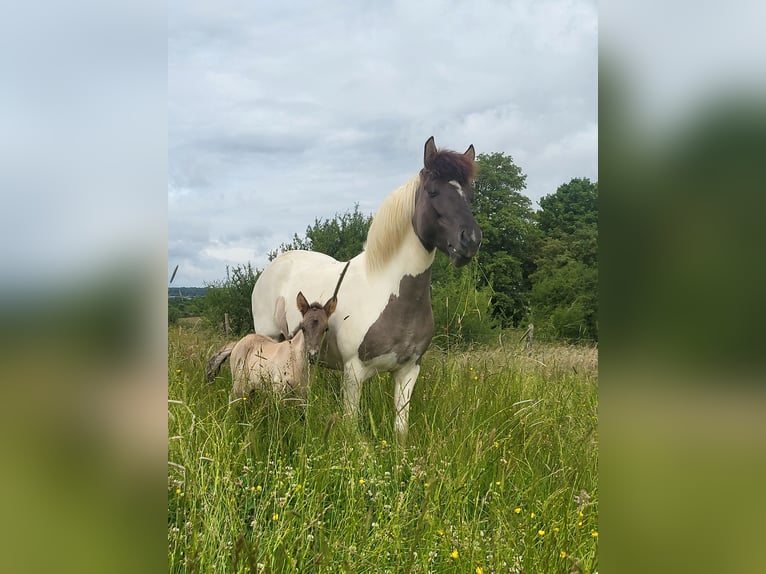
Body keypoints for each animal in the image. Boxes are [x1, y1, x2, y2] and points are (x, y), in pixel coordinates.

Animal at [208, 262, 350, 401]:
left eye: (326, 329)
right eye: (303, 327)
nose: (312, 355)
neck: (297, 362)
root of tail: (237, 343)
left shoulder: (303, 395)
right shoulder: (278, 391)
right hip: (239, 387)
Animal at [251, 137, 481, 440]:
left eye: (470, 195)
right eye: (432, 191)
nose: (471, 240)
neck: (388, 294)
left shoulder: (408, 372)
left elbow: (400, 430)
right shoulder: (354, 373)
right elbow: (351, 428)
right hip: (268, 338)